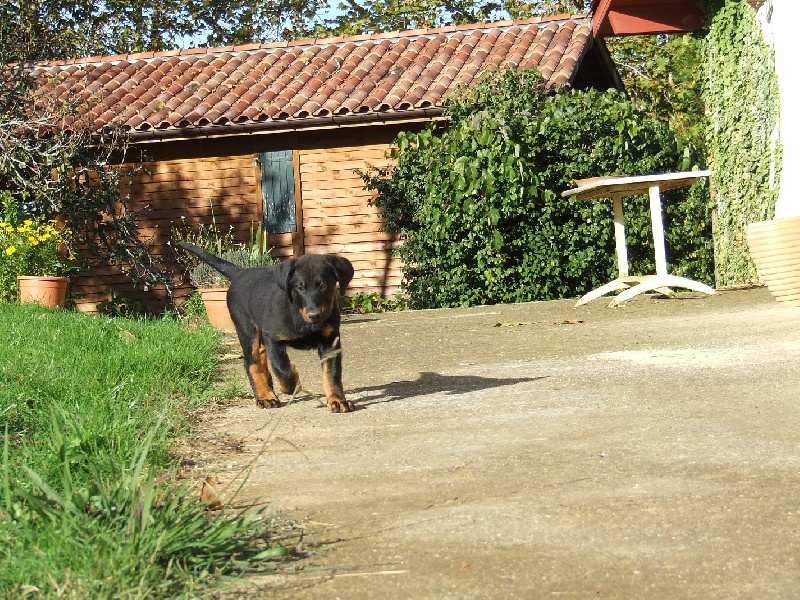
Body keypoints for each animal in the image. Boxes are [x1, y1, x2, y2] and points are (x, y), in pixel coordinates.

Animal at [183, 241, 358, 410]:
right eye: (299, 287)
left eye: (323, 286)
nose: (314, 315)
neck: (300, 316)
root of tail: (240, 273)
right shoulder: (273, 338)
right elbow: (282, 369)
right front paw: (292, 383)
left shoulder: (330, 341)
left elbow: (332, 373)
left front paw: (337, 400)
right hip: (247, 328)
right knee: (252, 363)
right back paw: (265, 396)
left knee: (261, 355)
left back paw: (267, 386)